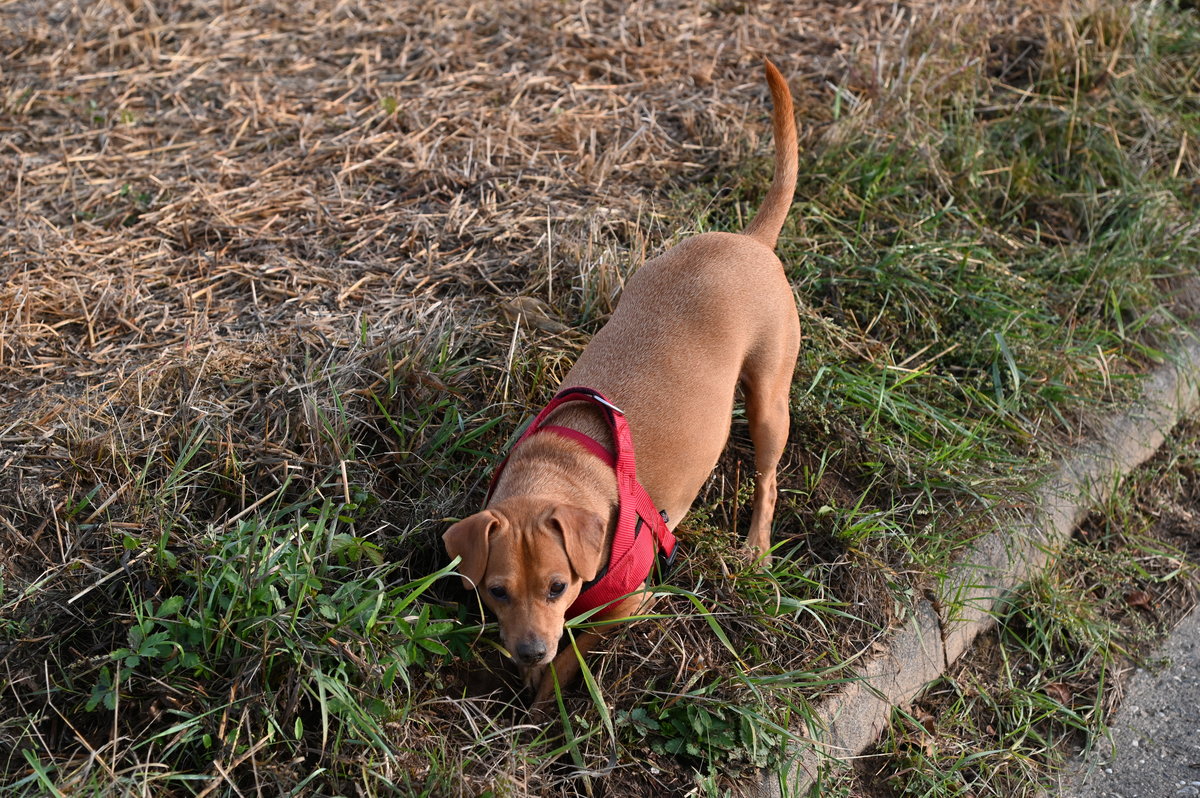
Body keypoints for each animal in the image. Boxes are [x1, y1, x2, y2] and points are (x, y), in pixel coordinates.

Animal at [441, 62, 796, 705]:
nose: (527, 649)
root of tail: (749, 240)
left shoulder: (632, 600)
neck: (563, 472)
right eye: (497, 591)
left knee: (768, 478)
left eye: (558, 586)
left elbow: (575, 653)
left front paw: (546, 700)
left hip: (768, 401)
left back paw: (756, 548)